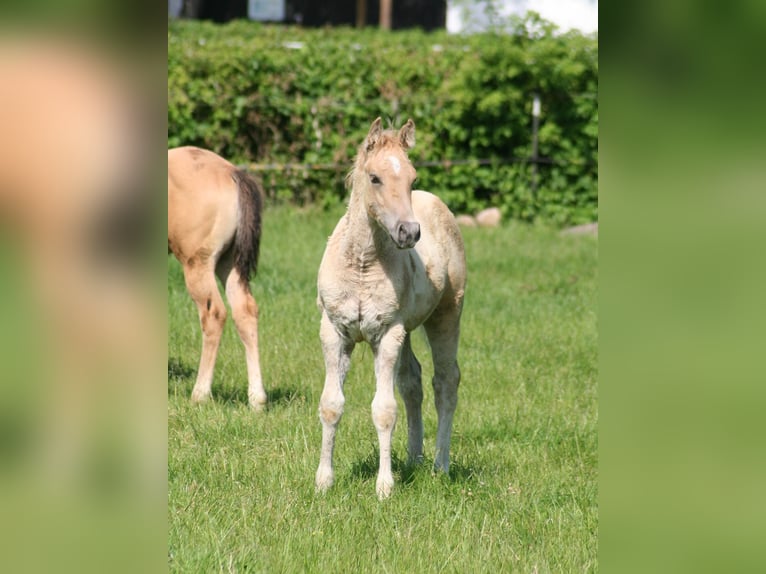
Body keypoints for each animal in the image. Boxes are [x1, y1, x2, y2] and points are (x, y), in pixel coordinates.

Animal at [168, 146, 267, 410]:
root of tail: (231, 172)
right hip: (229, 263)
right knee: (245, 311)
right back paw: (257, 400)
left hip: (198, 265)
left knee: (214, 315)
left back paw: (200, 394)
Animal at [315, 118, 467, 498]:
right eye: (375, 178)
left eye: (412, 178)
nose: (409, 232)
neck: (362, 263)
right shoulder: (334, 331)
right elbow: (331, 404)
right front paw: (323, 481)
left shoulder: (387, 333)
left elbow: (384, 410)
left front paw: (384, 487)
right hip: (409, 329)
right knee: (412, 381)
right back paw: (414, 459)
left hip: (446, 315)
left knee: (445, 382)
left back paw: (440, 466)